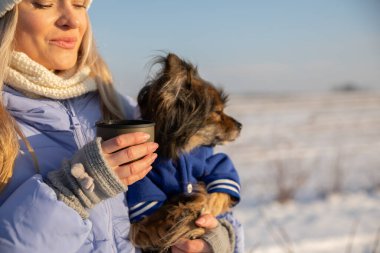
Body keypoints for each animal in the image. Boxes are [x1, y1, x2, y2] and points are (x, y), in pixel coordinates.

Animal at [127, 52, 240, 252]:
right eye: (218, 112)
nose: (240, 126)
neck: (181, 153)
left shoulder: (215, 164)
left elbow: (217, 190)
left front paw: (200, 210)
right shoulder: (143, 196)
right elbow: (148, 222)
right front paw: (181, 214)